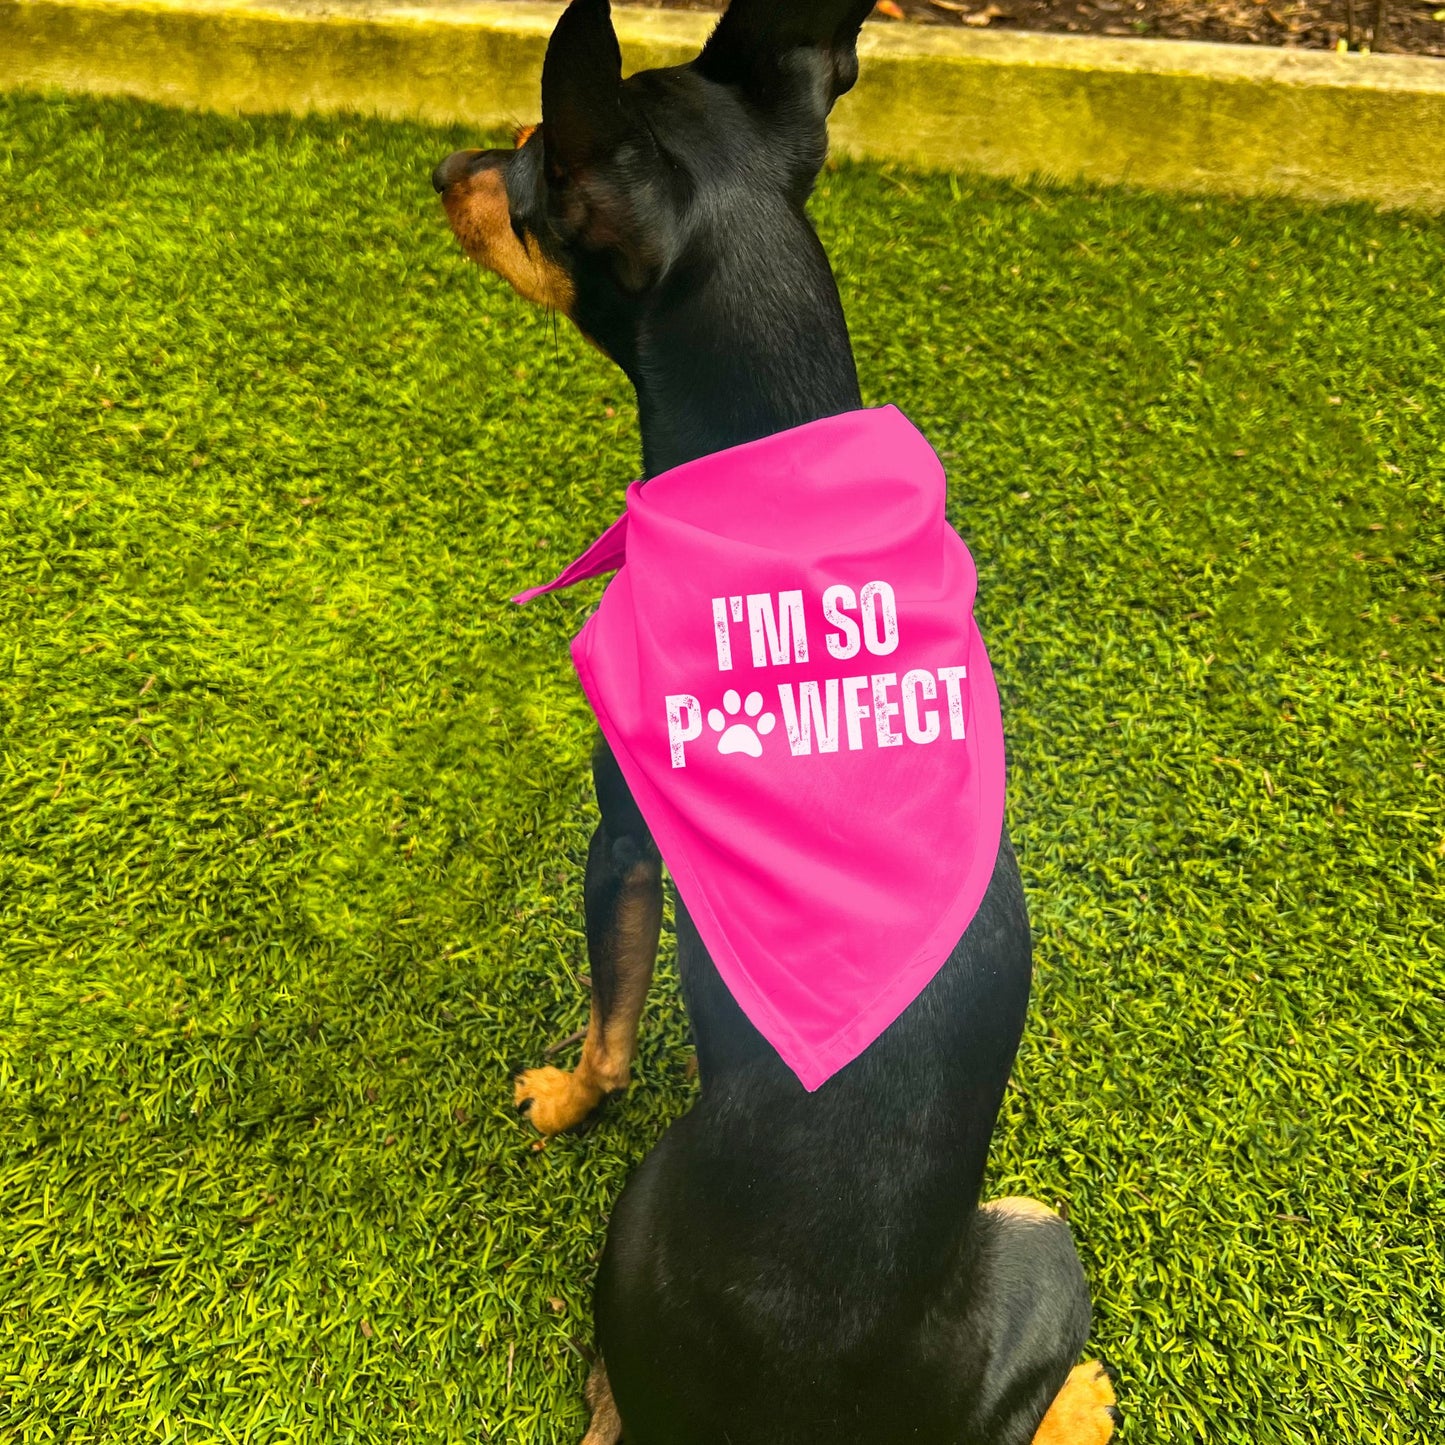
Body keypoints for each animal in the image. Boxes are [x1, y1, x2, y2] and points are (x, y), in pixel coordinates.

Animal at [427, 5, 1115, 1439]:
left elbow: (610, 1023)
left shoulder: (620, 839)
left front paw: (562, 1096)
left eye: (525, 164)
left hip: (1023, 1229)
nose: (438, 166)